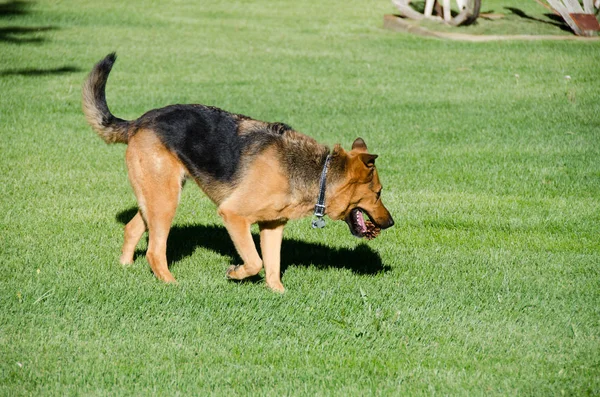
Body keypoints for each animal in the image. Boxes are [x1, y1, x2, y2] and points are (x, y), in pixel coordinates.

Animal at [84, 52, 394, 290]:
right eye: (378, 193)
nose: (391, 223)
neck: (320, 174)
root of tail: (138, 121)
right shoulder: (233, 215)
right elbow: (255, 261)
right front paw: (235, 273)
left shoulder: (273, 226)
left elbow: (272, 266)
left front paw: (278, 293)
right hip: (166, 201)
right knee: (154, 251)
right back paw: (172, 284)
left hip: (157, 196)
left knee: (132, 228)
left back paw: (125, 267)